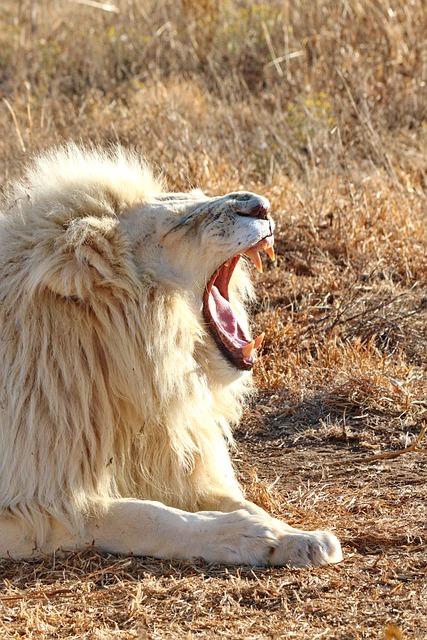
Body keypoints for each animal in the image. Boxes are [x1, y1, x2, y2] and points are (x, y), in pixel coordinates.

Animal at [0, 145, 342, 564]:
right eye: (179, 222)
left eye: (192, 196)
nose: (261, 206)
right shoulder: (34, 504)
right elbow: (141, 516)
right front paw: (249, 536)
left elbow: (237, 501)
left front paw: (294, 536)